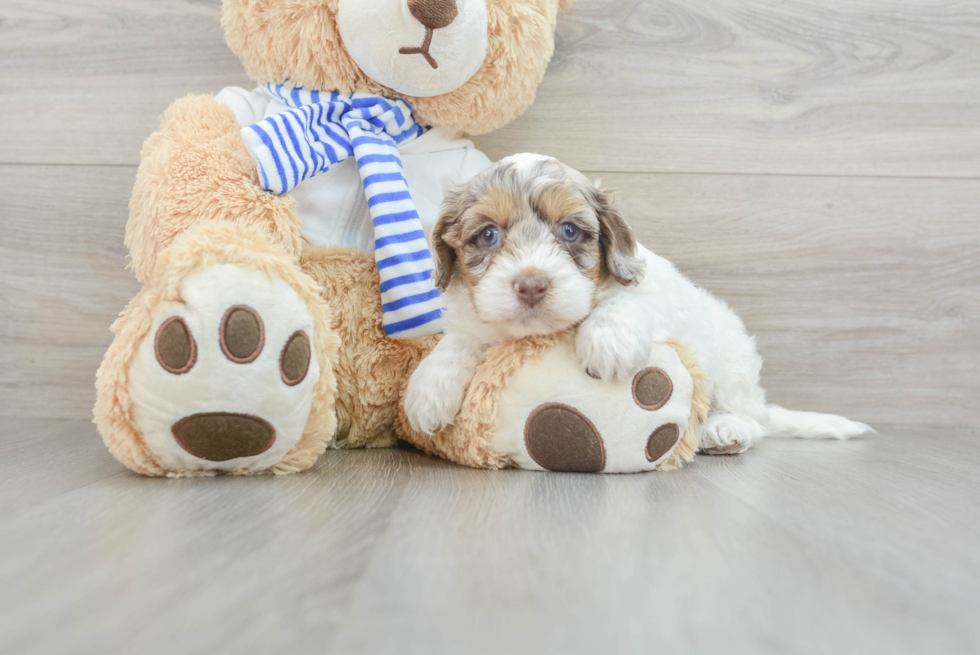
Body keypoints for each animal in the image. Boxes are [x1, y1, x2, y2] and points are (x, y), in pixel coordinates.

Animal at [406, 152, 872, 456]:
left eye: (570, 231)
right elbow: (457, 341)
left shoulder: (648, 294)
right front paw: (428, 389)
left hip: (732, 364)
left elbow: (625, 300)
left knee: (752, 419)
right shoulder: (472, 319)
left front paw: (606, 342)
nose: (532, 285)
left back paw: (725, 430)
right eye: (487, 235)